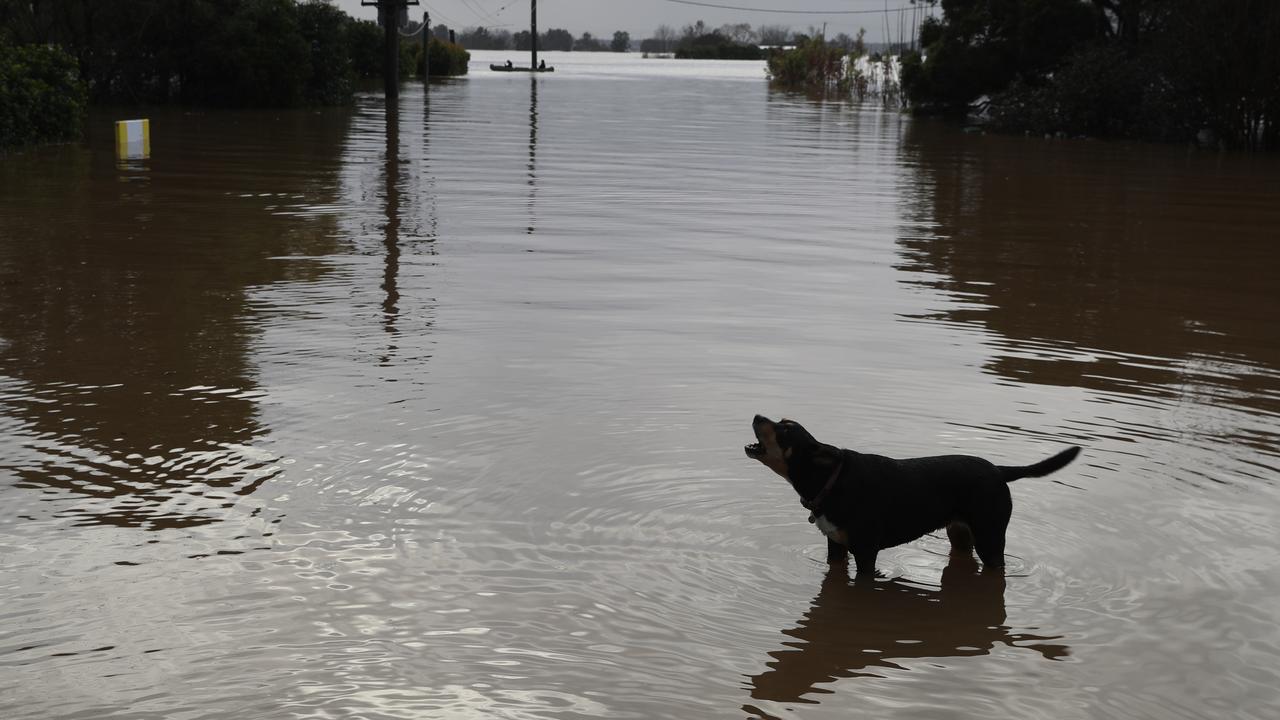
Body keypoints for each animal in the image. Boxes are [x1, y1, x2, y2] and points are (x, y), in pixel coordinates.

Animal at [742, 415, 1080, 571]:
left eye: (785, 429)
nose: (757, 416)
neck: (830, 480)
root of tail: (999, 470)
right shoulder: (836, 547)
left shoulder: (866, 550)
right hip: (960, 534)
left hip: (990, 535)